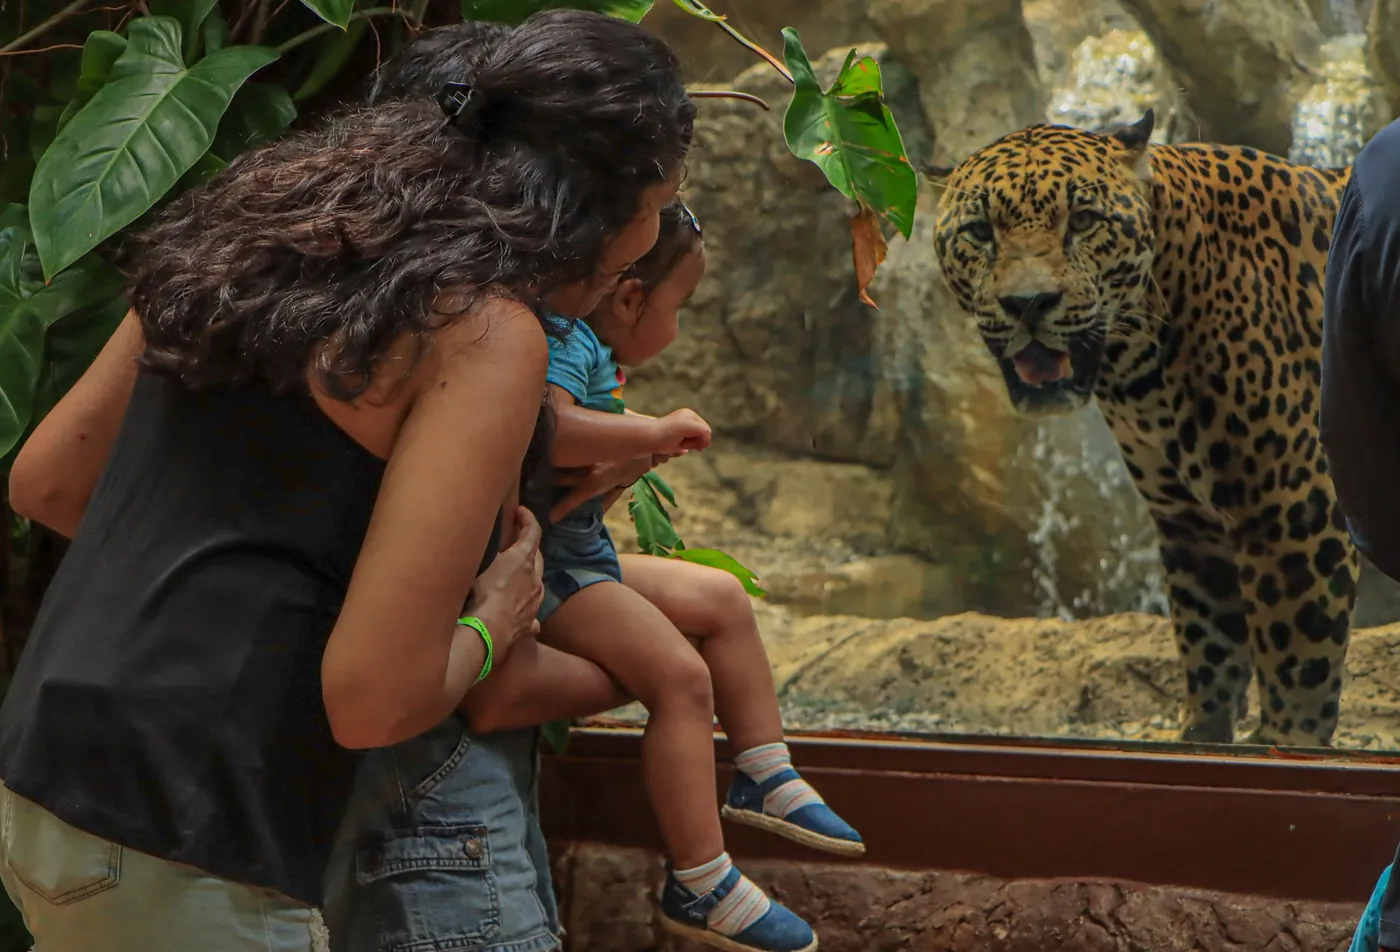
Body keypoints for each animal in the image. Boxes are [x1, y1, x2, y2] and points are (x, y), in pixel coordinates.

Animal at [926, 108, 1357, 747]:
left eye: (1083, 221)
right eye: (980, 232)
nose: (1028, 303)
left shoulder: (1293, 509)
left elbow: (1295, 656)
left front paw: (1285, 746)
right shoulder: (1191, 521)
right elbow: (1209, 644)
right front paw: (1201, 738)